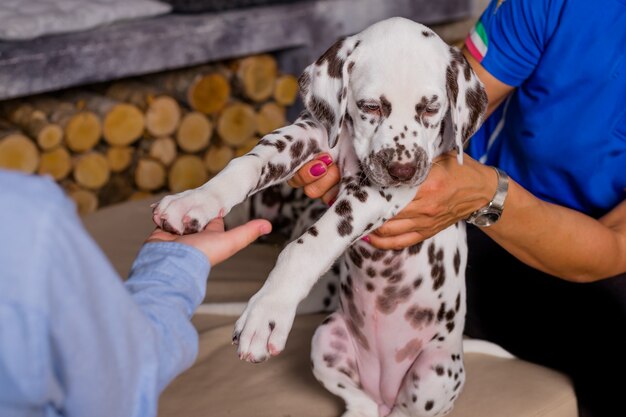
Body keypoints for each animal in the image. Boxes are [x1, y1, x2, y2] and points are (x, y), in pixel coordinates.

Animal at [151, 17, 488, 416]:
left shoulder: (377, 193)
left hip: (434, 372)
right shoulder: (307, 132)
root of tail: (383, 391)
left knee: (405, 410)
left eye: (431, 109)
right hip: (327, 339)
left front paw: (268, 310)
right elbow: (246, 164)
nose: (403, 171)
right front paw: (197, 200)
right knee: (362, 402)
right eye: (370, 106)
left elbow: (308, 244)